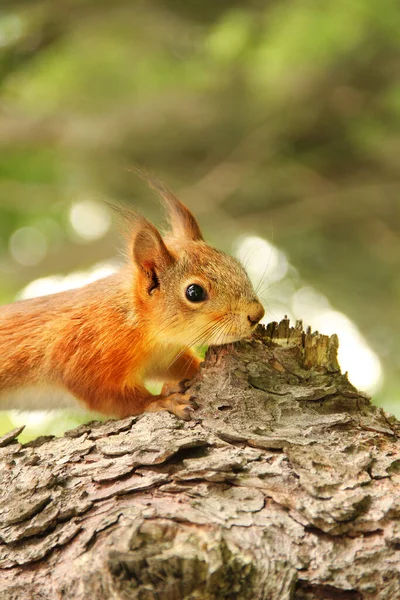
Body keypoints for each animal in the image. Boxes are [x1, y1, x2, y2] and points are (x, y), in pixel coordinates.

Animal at [0, 173, 266, 420]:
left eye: (238, 266)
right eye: (194, 292)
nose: (257, 314)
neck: (144, 327)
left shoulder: (165, 356)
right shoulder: (85, 355)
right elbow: (107, 396)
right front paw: (161, 401)